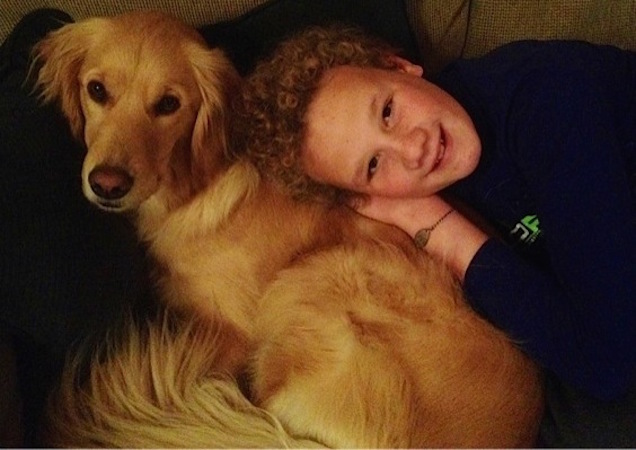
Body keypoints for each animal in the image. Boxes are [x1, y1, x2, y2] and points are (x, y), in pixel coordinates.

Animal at [34, 11, 544, 450]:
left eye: (168, 104)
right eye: (97, 90)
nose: (107, 184)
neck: (196, 187)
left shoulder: (232, 335)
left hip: (318, 274)